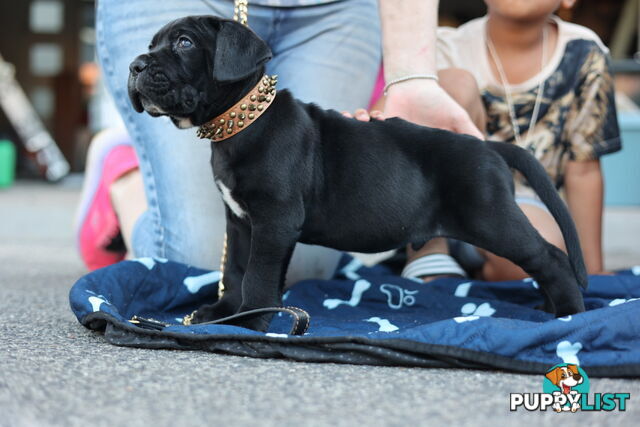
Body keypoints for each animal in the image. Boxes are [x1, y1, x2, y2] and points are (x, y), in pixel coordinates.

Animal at [127, 15, 588, 332]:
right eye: (150, 44)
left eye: (184, 42)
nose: (135, 65)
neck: (242, 123)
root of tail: (489, 146)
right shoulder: (240, 222)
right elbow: (235, 271)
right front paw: (220, 315)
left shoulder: (273, 221)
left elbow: (257, 276)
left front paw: (249, 323)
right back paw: (551, 309)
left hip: (491, 218)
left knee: (550, 256)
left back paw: (569, 316)